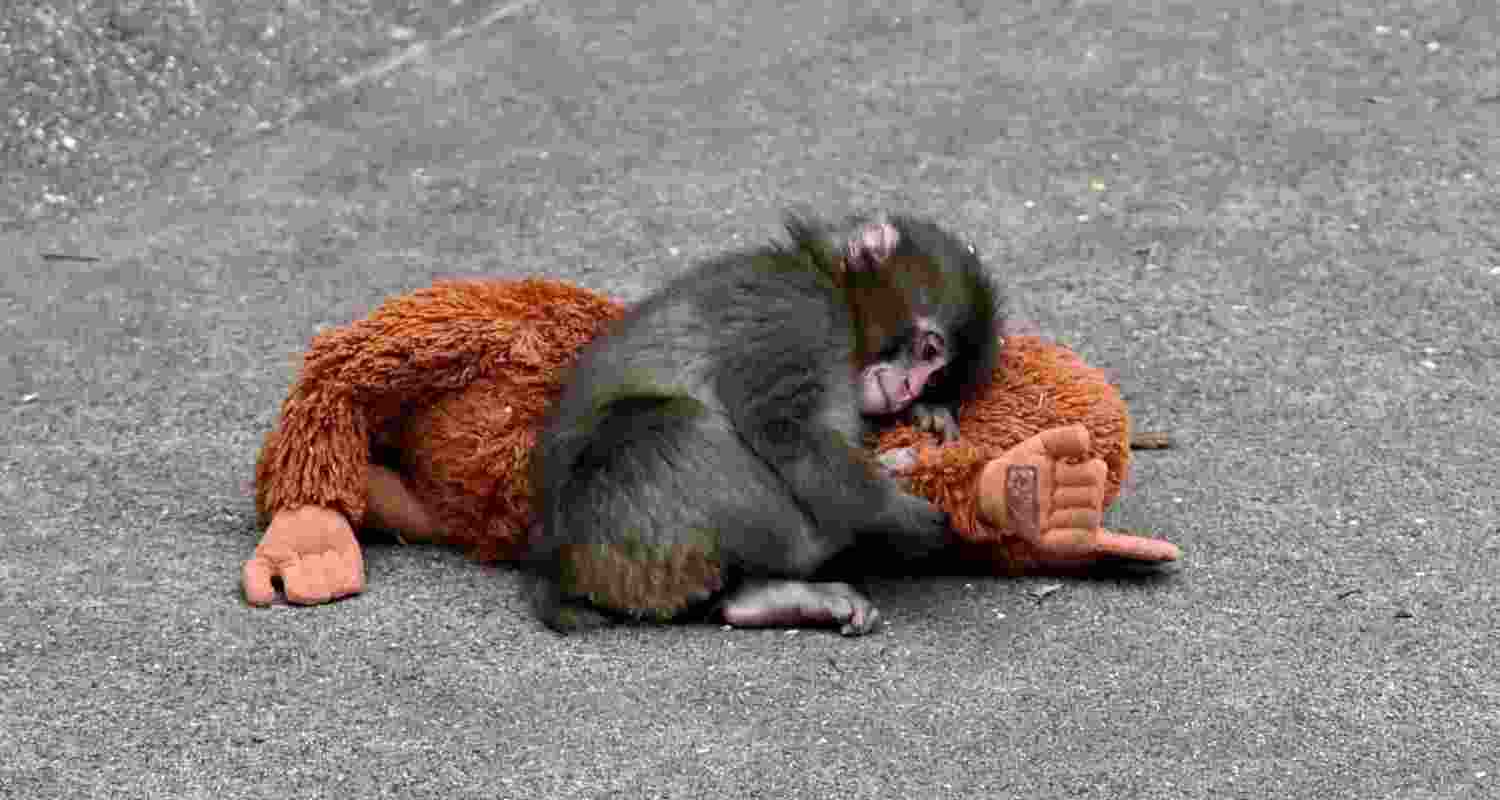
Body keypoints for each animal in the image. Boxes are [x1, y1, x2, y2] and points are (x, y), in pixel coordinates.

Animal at [528, 212, 1003, 636]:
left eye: (936, 378)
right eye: (927, 351)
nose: (909, 389)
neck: (834, 291)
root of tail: (557, 572)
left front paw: (927, 416)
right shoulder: (799, 317)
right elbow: (785, 429)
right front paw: (897, 510)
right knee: (677, 426)